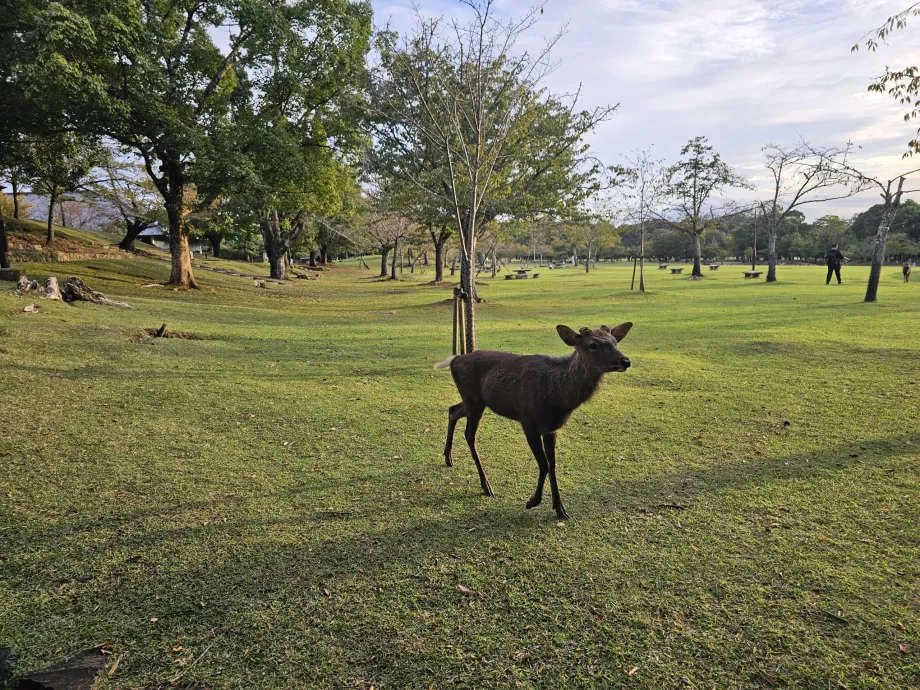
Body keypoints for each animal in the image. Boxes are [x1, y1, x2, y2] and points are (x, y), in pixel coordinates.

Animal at [434, 322, 632, 516]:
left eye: (615, 341)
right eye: (593, 345)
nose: (626, 361)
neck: (557, 397)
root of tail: (454, 360)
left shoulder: (551, 428)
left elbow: (552, 464)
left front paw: (560, 509)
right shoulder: (528, 422)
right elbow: (544, 464)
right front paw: (532, 501)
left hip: (475, 401)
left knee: (453, 410)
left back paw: (448, 458)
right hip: (473, 401)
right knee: (469, 435)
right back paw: (486, 485)